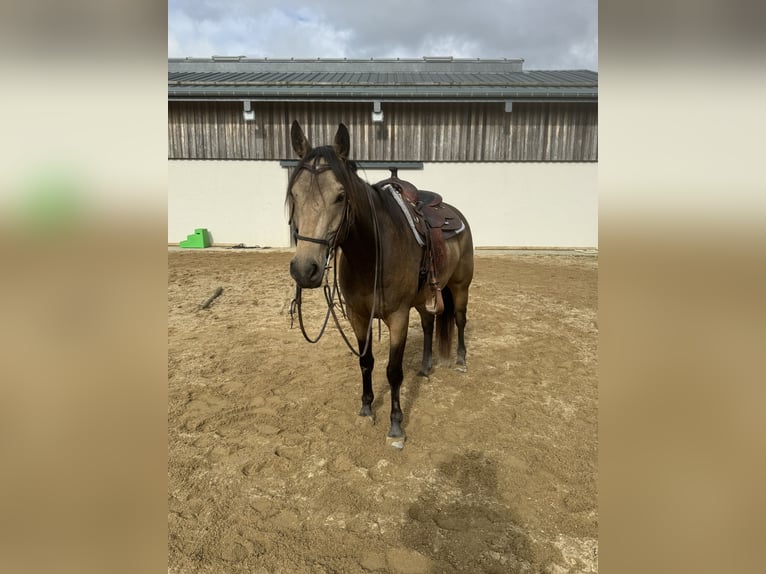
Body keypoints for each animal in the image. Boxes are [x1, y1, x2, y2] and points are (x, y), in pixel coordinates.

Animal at [284, 120, 472, 446]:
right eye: (294, 193)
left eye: (340, 195)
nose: (305, 270)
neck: (372, 255)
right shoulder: (358, 316)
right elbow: (366, 361)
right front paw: (366, 408)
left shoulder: (397, 316)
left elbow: (393, 371)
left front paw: (396, 425)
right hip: (424, 297)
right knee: (428, 324)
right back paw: (425, 366)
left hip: (460, 287)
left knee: (459, 319)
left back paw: (460, 361)